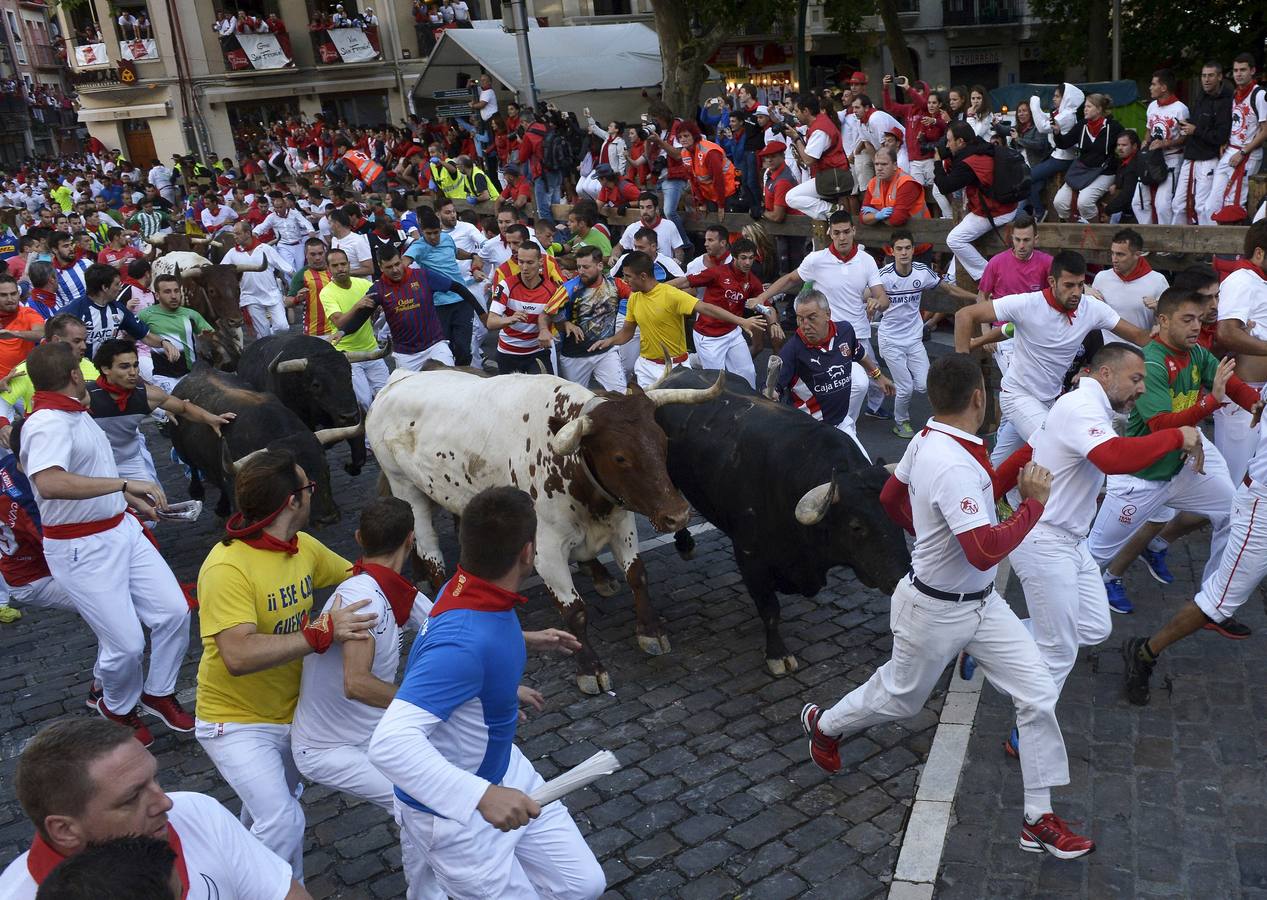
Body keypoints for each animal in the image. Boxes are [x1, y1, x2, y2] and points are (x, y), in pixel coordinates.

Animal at [367, 367, 724, 699]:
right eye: (620, 457)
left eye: (663, 442)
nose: (677, 515)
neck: (570, 467)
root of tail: (398, 380)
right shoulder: (547, 550)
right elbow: (574, 610)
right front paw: (590, 668)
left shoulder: (622, 522)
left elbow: (638, 575)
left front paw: (650, 631)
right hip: (406, 487)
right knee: (429, 550)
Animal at [653, 367, 912, 679]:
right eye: (856, 526)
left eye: (898, 517)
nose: (900, 576)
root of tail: (679, 372)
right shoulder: (750, 556)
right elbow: (770, 609)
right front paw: (777, 654)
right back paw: (684, 543)